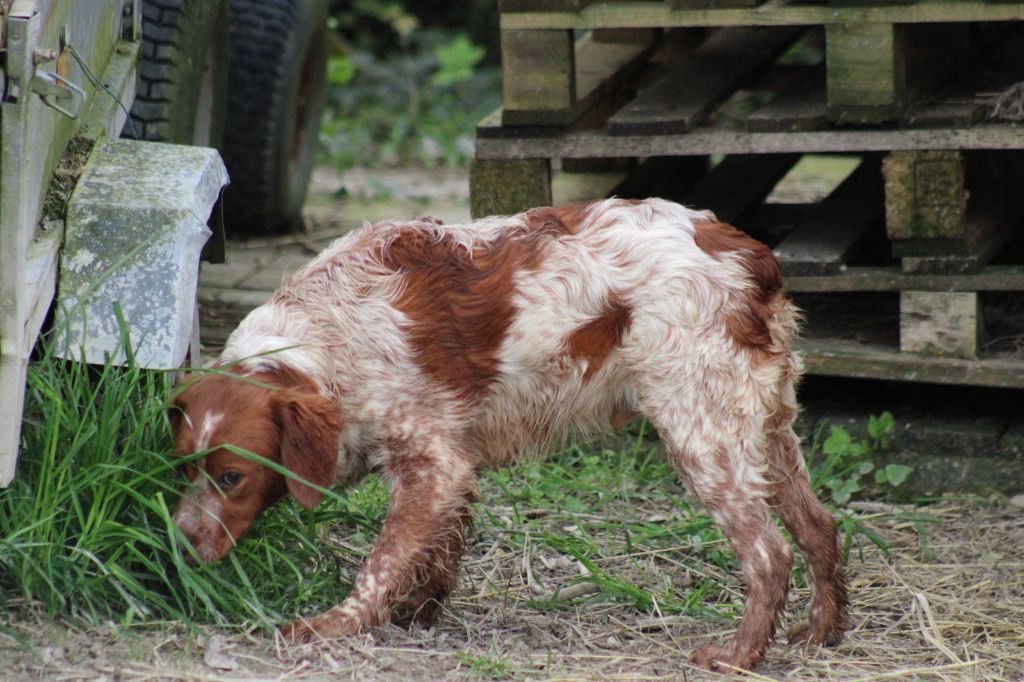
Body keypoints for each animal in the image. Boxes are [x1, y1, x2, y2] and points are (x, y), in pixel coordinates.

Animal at [172, 196, 847, 667]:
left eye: (231, 477)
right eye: (182, 469)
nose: (179, 541)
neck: (325, 339)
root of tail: (753, 258)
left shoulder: (434, 462)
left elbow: (380, 563)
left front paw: (333, 626)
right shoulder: (453, 464)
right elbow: (436, 551)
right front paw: (417, 612)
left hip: (701, 433)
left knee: (770, 552)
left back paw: (738, 655)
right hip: (765, 426)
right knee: (820, 527)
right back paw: (821, 633)